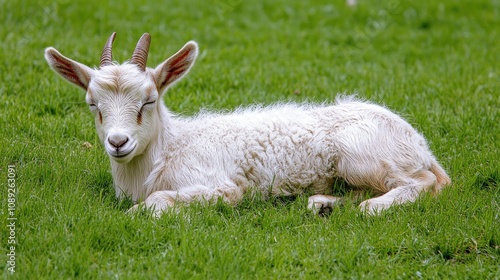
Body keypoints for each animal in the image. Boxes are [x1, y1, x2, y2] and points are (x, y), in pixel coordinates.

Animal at [45, 32, 452, 217]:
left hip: (363, 154)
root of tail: (421, 146)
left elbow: (161, 201)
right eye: (92, 104)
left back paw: (373, 208)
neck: (169, 151)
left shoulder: (220, 184)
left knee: (423, 184)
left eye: (149, 100)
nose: (118, 142)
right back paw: (322, 204)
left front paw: (135, 215)